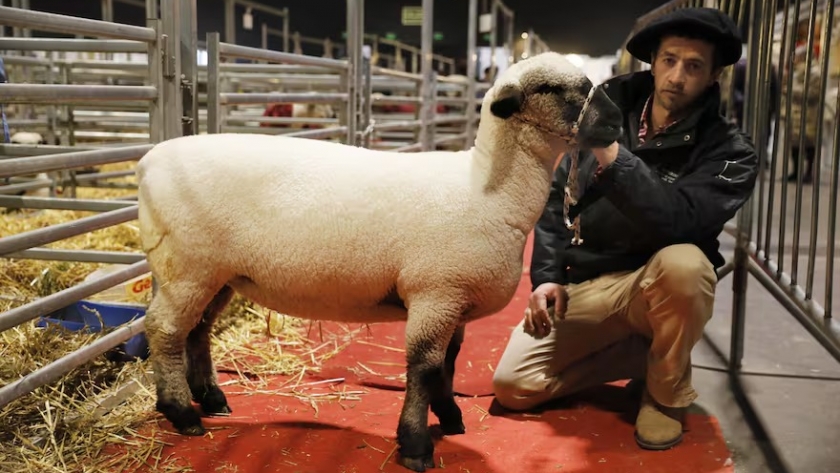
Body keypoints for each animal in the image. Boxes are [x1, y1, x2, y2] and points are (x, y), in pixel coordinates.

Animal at [136, 52, 624, 472]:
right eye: (549, 88)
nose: (617, 119)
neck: (487, 190)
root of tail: (149, 160)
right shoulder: (435, 293)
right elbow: (424, 368)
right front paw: (415, 444)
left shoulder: (455, 299)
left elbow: (449, 363)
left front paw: (449, 417)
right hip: (187, 264)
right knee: (164, 330)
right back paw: (181, 413)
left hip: (216, 272)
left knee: (195, 330)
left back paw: (211, 399)